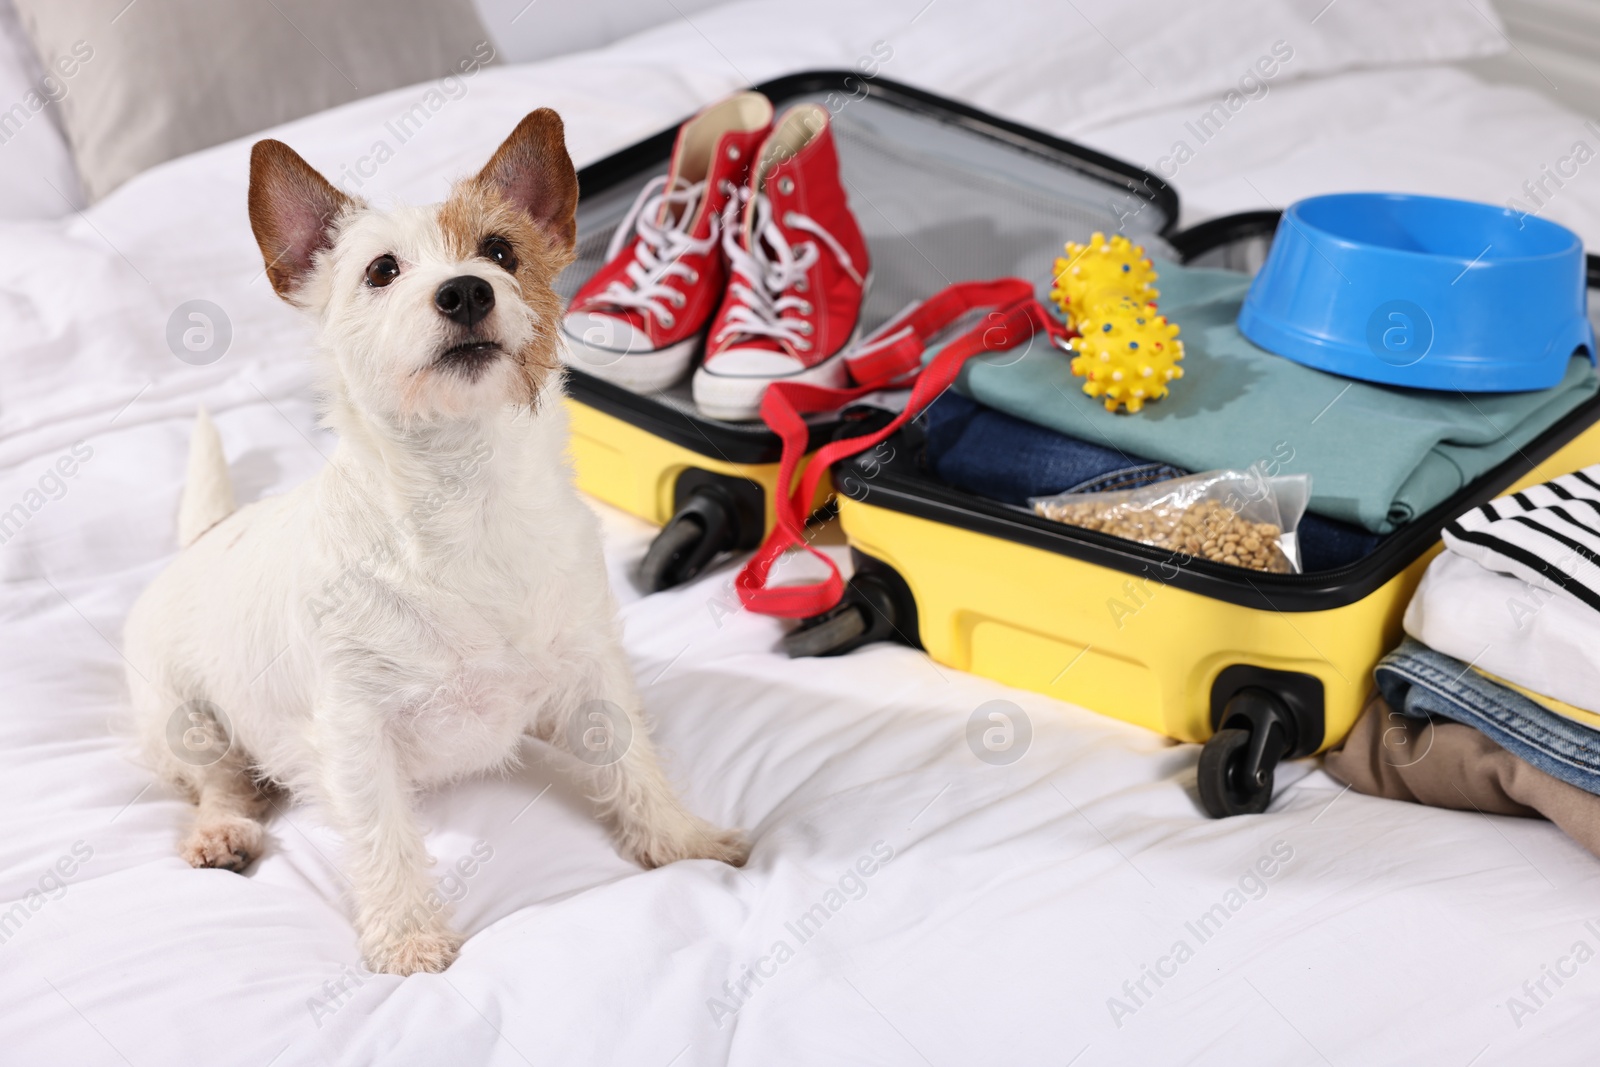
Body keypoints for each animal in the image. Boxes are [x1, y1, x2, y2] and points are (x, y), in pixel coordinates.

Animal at [124, 108, 748, 979]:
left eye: (501, 252)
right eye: (382, 270)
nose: (465, 290)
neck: (466, 501)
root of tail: (206, 535)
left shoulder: (592, 671)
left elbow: (634, 766)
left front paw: (682, 840)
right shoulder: (357, 732)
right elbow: (385, 837)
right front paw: (408, 937)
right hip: (181, 718)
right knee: (221, 781)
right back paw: (224, 830)